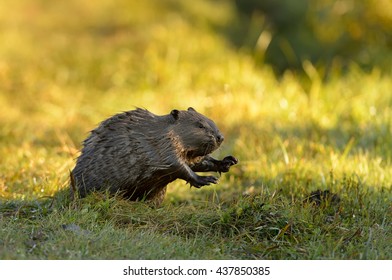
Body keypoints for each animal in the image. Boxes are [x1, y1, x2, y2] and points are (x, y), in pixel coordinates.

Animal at [69, 107, 239, 206]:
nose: (220, 137)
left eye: (211, 120)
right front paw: (206, 179)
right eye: (200, 125)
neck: (162, 131)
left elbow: (197, 162)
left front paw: (228, 162)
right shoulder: (160, 146)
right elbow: (176, 165)